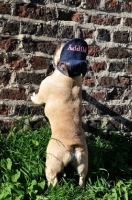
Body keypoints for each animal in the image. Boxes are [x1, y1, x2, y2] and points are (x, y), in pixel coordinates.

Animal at [31, 38, 88, 187]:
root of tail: (73, 147)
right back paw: (81, 186)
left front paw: (32, 96)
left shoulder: (43, 91)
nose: (58, 43)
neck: (71, 76)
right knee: (82, 176)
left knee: (53, 178)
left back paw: (51, 188)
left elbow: (37, 98)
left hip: (53, 161)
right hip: (83, 163)